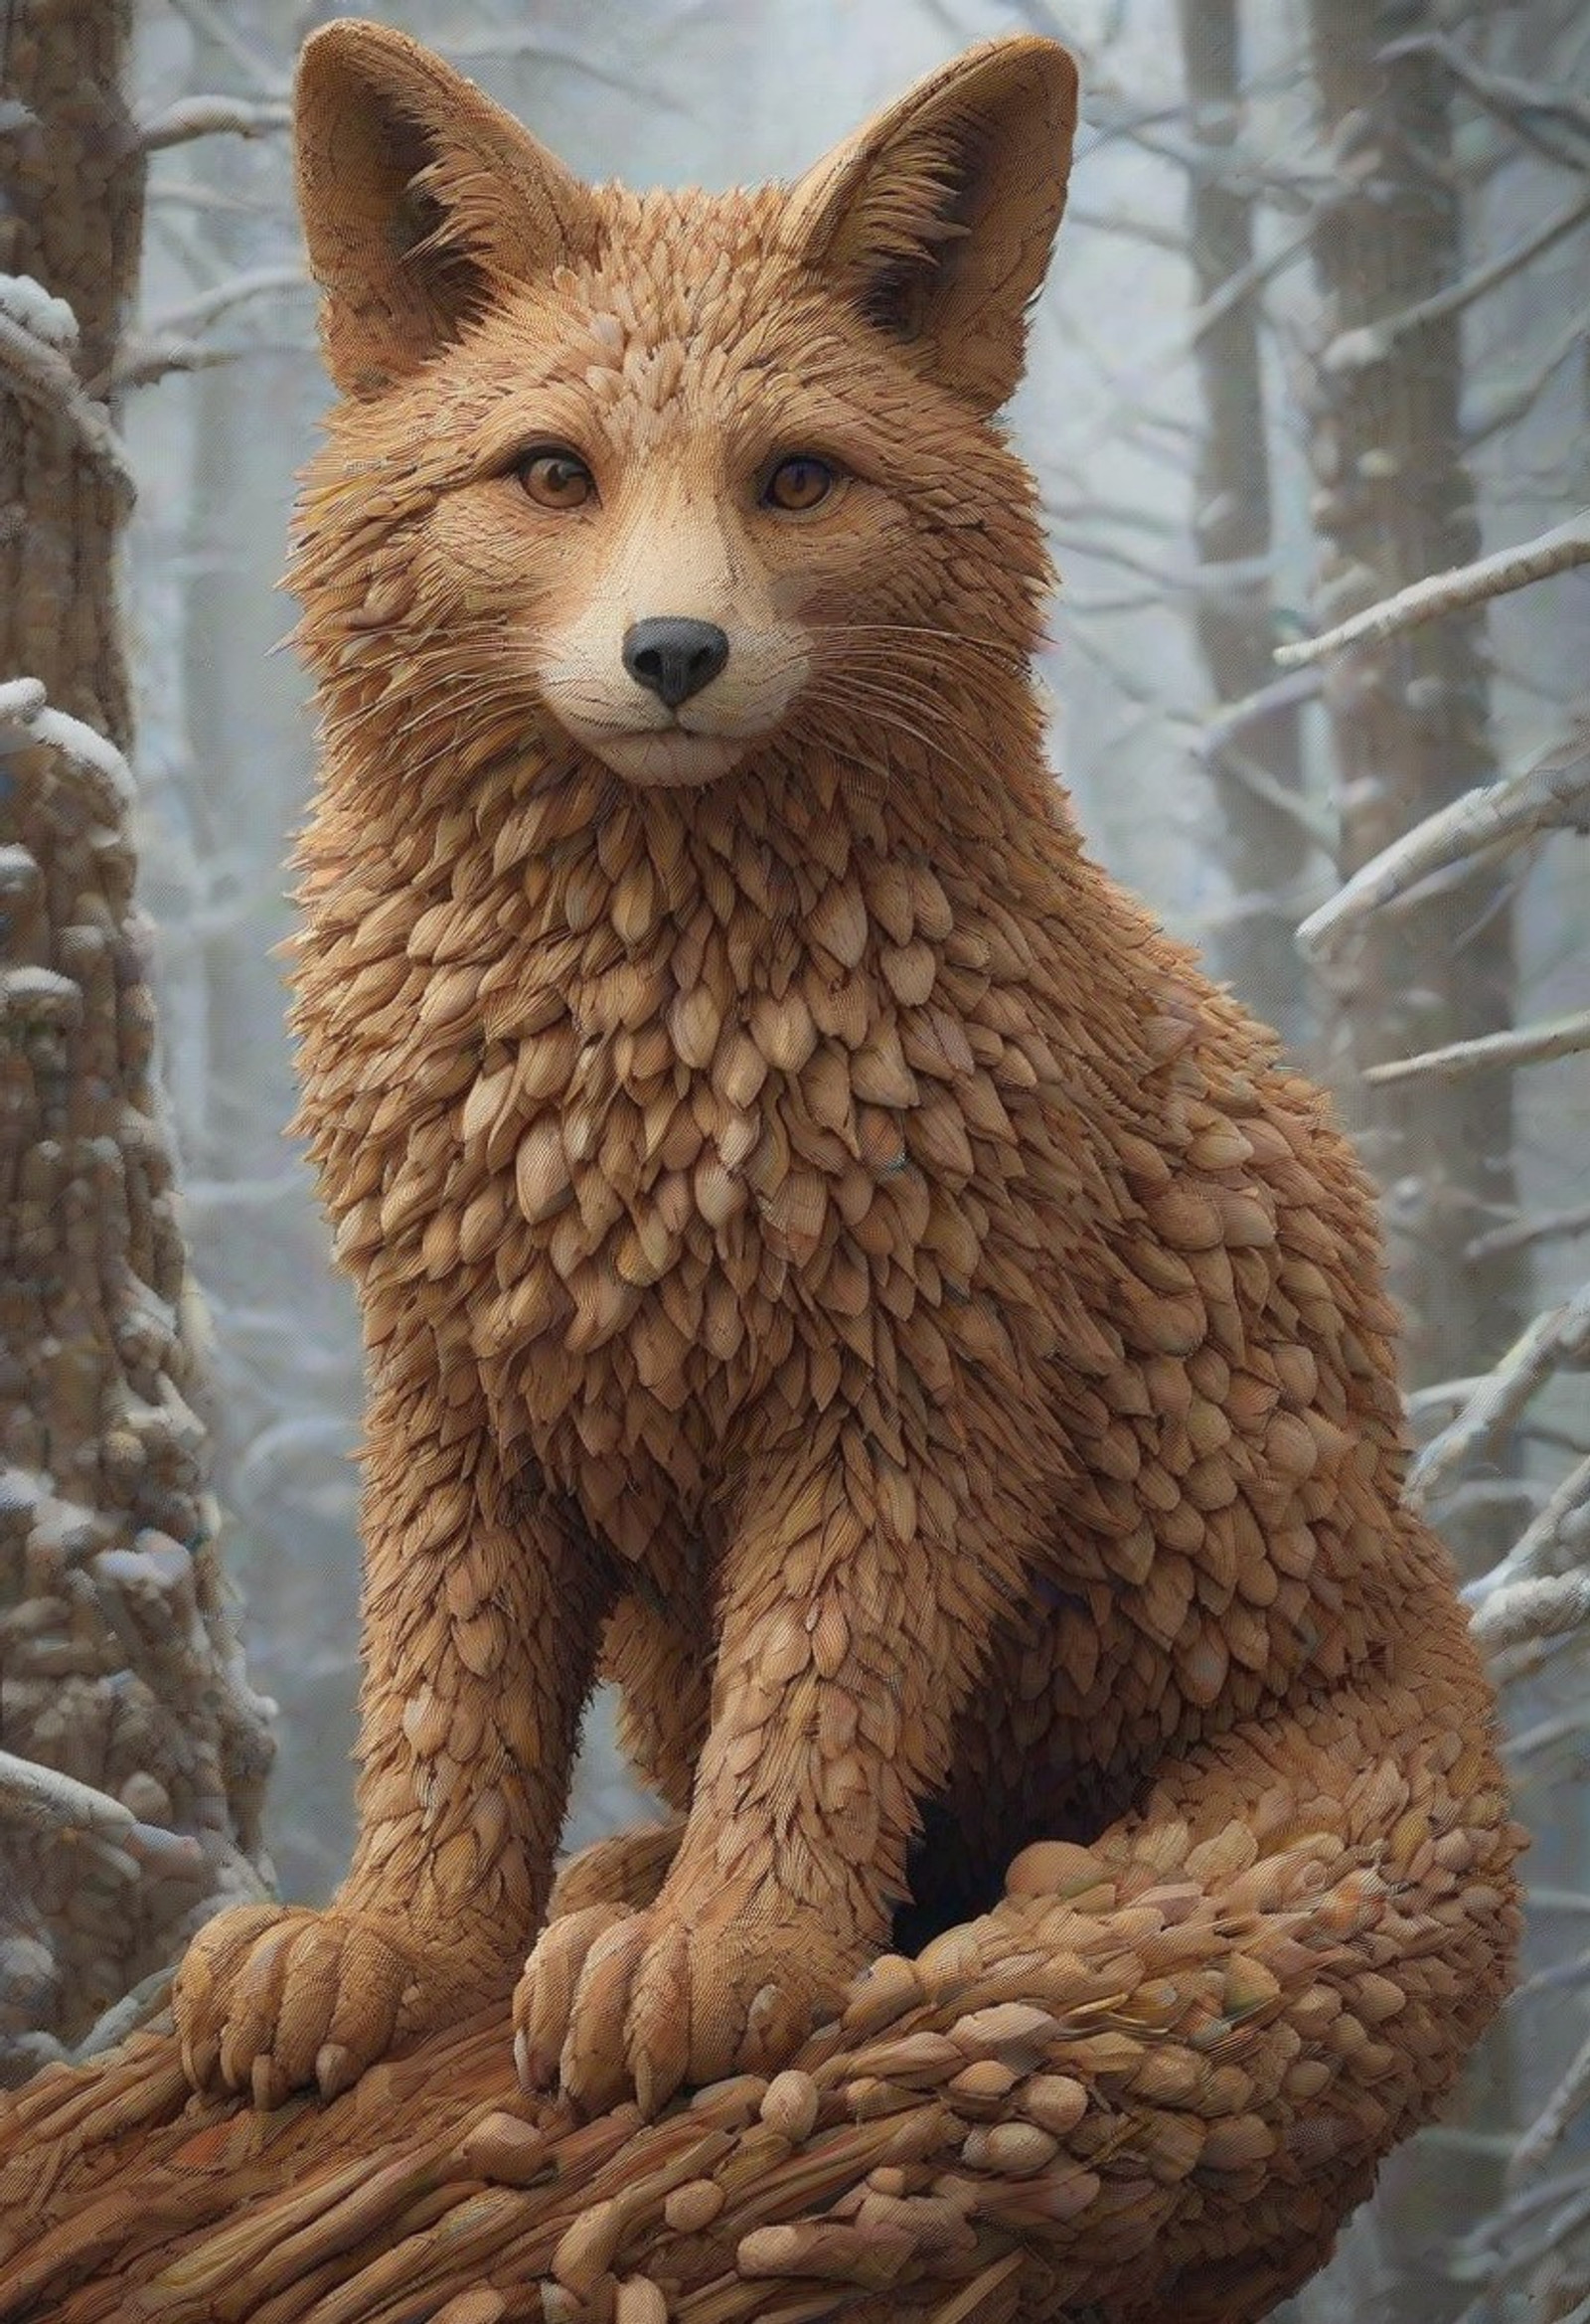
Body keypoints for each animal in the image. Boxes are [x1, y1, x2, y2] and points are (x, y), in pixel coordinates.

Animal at [174, 19, 1518, 2297]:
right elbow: (444, 1707)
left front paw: (723, 1955)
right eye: (553, 474)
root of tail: (1433, 1610)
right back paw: (603, 1888)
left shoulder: (917, 1395)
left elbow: (823, 1707)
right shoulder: (452, 1386)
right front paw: (387, 1945)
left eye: (795, 479)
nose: (674, 658)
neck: (637, 1035)